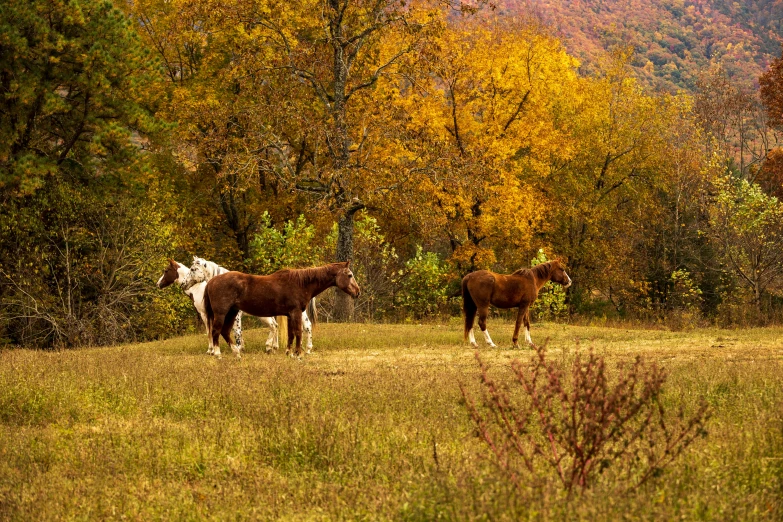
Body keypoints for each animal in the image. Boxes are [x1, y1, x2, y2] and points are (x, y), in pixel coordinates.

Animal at [188, 256, 316, 354]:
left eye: (193, 269)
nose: (185, 283)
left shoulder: (236, 316)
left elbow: (237, 332)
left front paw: (238, 348)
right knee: (280, 326)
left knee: (305, 326)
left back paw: (306, 349)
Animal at [202, 260, 362, 358]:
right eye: (349, 275)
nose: (357, 292)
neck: (300, 283)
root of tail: (211, 281)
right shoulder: (295, 313)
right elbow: (298, 333)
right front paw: (298, 354)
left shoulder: (290, 314)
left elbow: (291, 334)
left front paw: (289, 353)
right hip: (222, 313)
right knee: (216, 331)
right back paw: (218, 354)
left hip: (232, 312)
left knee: (224, 331)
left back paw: (236, 353)